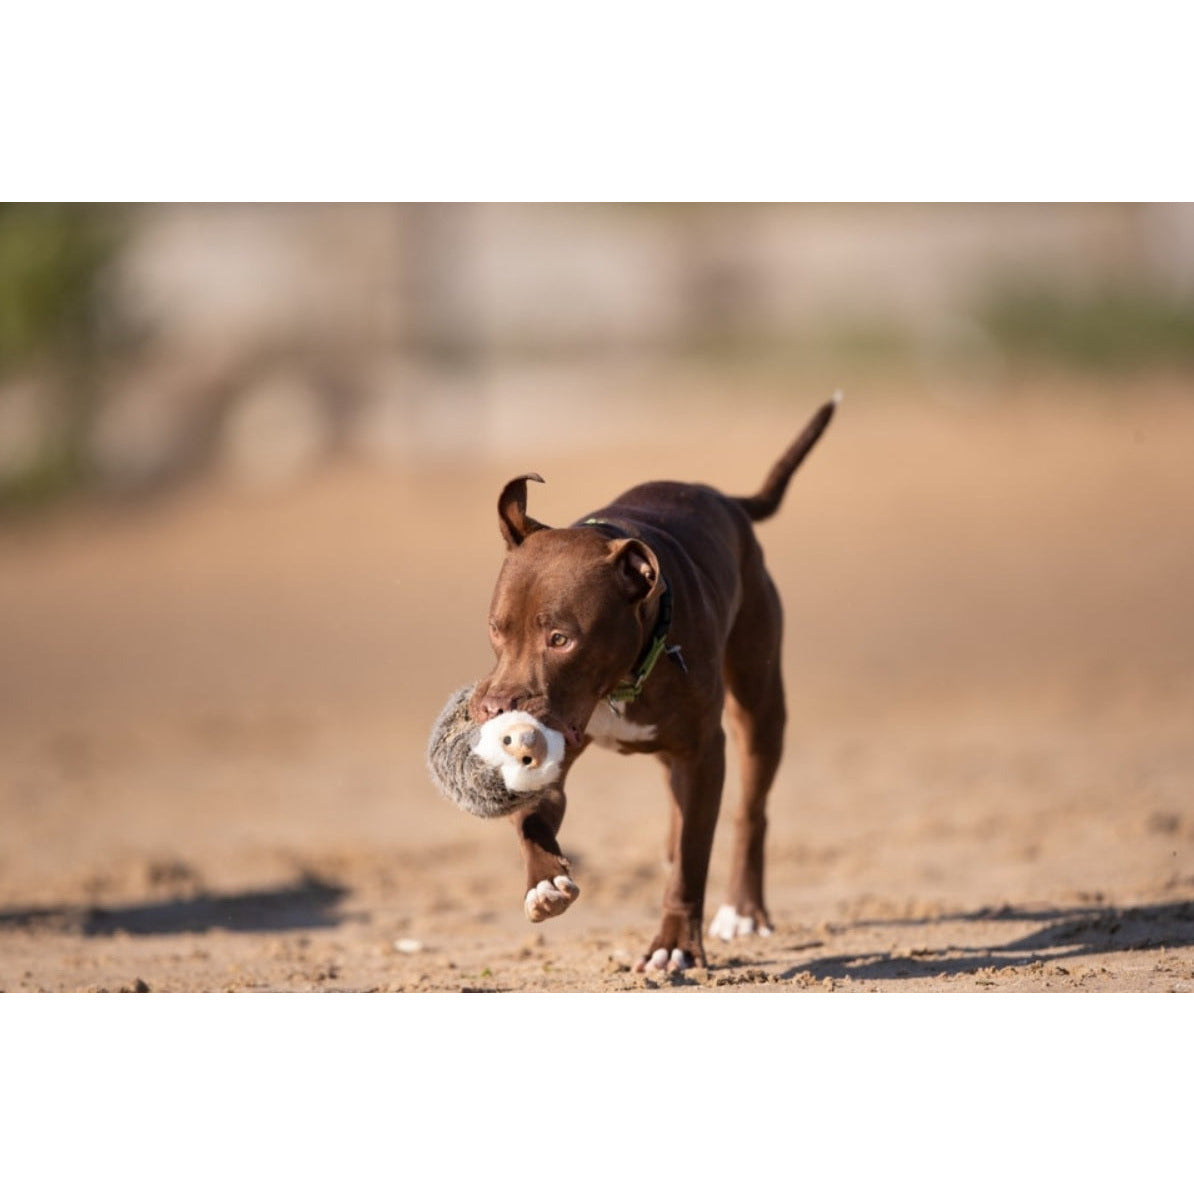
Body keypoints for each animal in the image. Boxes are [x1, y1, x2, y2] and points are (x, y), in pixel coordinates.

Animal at [468, 396, 840, 974]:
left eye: (561, 639)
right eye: (496, 628)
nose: (495, 707)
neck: (619, 683)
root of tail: (726, 501)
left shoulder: (705, 753)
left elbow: (693, 858)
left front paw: (675, 944)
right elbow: (531, 817)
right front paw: (545, 883)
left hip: (759, 707)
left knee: (749, 812)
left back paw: (744, 911)